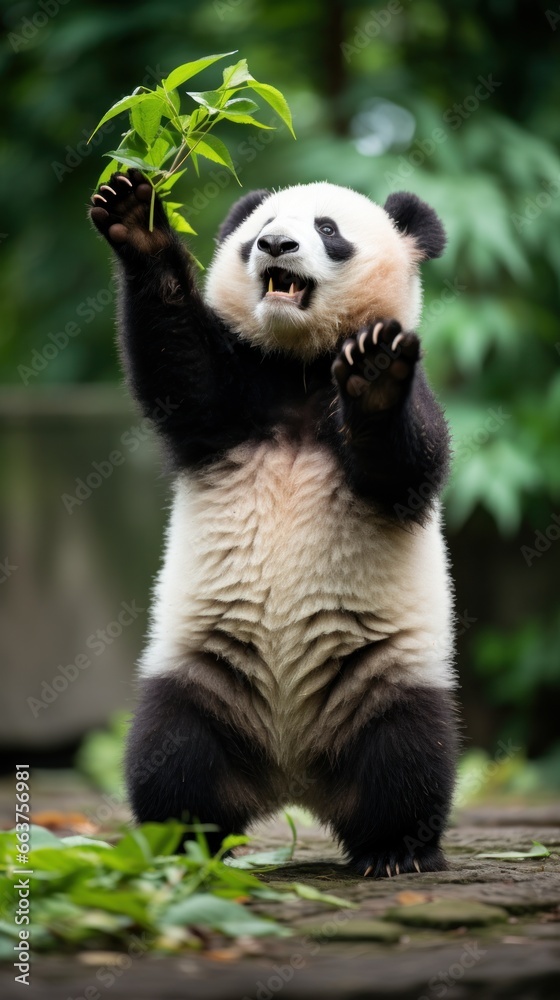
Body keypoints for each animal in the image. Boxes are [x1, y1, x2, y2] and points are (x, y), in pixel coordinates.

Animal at [89, 170, 458, 876]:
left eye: (327, 229)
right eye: (261, 225)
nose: (275, 245)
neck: (301, 368)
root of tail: (294, 780)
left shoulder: (409, 401)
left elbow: (409, 463)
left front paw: (372, 373)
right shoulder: (237, 401)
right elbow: (181, 371)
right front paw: (136, 216)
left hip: (388, 675)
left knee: (410, 756)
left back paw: (394, 850)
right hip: (200, 674)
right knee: (170, 754)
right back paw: (185, 844)